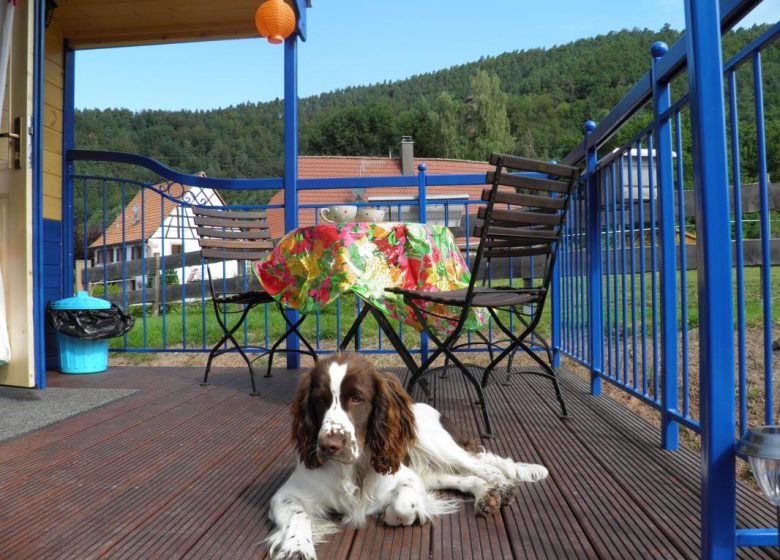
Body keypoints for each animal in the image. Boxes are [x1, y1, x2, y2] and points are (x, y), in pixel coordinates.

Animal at [268, 354, 548, 560]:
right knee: (463, 479)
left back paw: (501, 489)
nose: (328, 446)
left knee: (486, 467)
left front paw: (391, 512)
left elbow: (403, 505)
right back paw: (486, 496)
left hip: (438, 445)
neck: (353, 469)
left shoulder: (406, 478)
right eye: (319, 400)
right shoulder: (285, 495)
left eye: (357, 398)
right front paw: (296, 548)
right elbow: (298, 515)